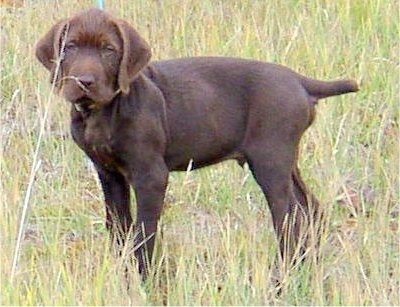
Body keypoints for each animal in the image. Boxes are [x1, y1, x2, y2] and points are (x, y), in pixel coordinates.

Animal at [36, 7, 358, 276]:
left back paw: (283, 277)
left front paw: (145, 278)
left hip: (270, 162)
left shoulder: (151, 176)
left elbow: (144, 232)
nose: (83, 81)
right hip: (284, 161)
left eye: (108, 50)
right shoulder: (109, 174)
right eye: (70, 47)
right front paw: (122, 272)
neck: (104, 111)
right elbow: (118, 228)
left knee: (290, 219)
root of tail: (300, 81)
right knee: (310, 210)